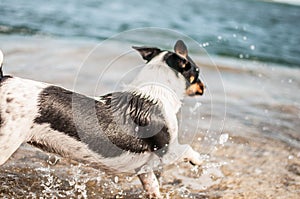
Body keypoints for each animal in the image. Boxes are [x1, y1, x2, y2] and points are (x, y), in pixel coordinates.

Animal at [0, 40, 204, 197]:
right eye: (197, 71)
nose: (204, 87)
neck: (154, 92)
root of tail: (4, 80)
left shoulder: (143, 169)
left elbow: (152, 185)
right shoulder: (168, 149)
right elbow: (188, 149)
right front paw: (198, 160)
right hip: (5, 144)